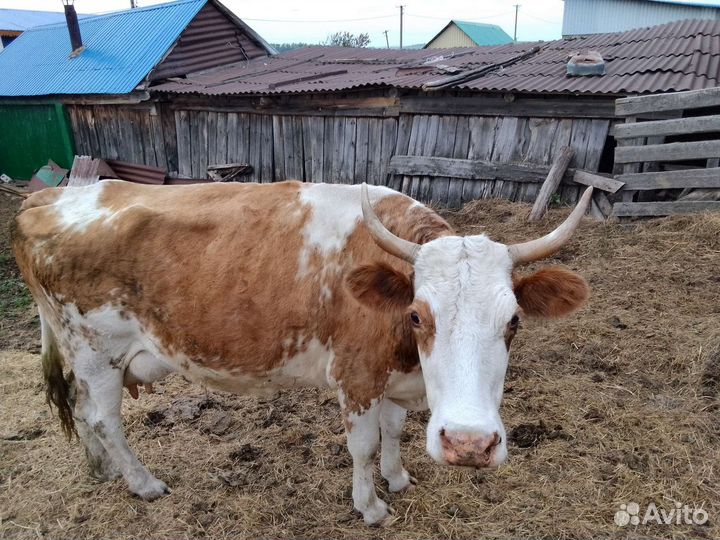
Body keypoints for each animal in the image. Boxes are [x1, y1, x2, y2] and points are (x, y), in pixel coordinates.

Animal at [12, 180, 591, 525]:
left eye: (513, 321)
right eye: (417, 315)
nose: (469, 444)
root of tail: (49, 196)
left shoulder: (391, 377)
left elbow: (393, 429)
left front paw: (398, 478)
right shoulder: (356, 374)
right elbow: (363, 444)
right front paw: (371, 506)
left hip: (77, 351)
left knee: (80, 410)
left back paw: (102, 470)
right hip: (96, 352)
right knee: (104, 418)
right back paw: (143, 482)